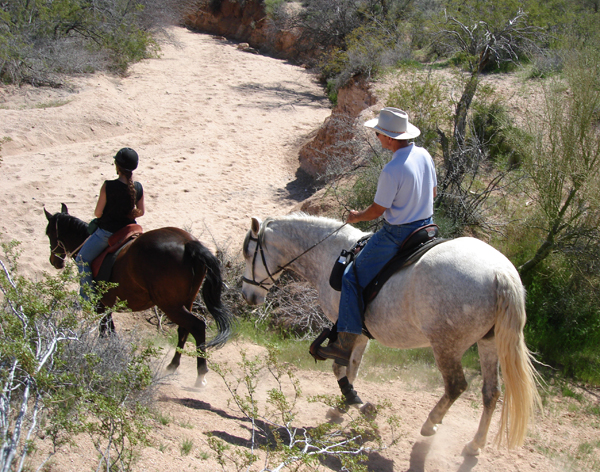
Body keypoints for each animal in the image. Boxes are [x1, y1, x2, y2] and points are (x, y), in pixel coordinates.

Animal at [44, 204, 234, 388]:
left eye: (48, 233)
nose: (54, 261)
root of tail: (188, 243)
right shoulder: (108, 305)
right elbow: (111, 329)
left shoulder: (100, 305)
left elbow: (104, 330)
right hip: (186, 301)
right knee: (184, 329)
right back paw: (173, 365)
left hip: (170, 306)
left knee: (197, 326)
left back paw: (200, 374)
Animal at [241, 213, 540, 454]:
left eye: (247, 254)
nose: (247, 295)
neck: (329, 254)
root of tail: (499, 273)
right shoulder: (360, 332)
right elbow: (352, 366)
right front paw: (347, 402)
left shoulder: (345, 325)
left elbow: (340, 365)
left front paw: (356, 402)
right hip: (489, 343)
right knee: (491, 393)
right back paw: (475, 444)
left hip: (446, 345)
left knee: (456, 386)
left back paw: (431, 424)